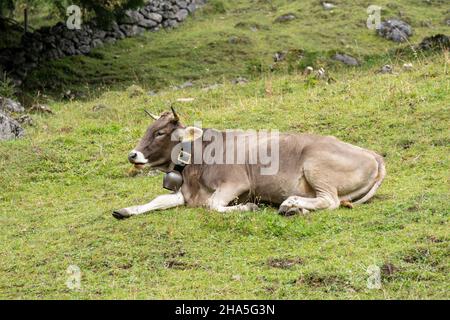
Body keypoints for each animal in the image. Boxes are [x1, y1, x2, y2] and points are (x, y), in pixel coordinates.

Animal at [111, 109, 384, 219]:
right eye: (149, 128)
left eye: (159, 133)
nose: (133, 155)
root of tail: (374, 154)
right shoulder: (187, 193)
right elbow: (157, 200)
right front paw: (125, 210)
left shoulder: (236, 183)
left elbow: (212, 205)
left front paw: (248, 208)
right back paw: (295, 209)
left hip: (316, 167)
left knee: (330, 201)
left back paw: (290, 203)